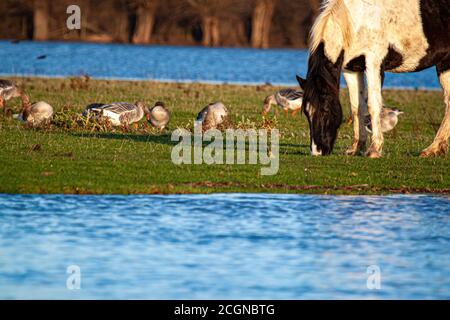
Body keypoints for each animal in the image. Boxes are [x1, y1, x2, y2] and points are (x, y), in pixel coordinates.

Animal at [298, 0, 448, 158]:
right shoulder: (351, 69)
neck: (358, 19)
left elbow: (373, 105)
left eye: (325, 110)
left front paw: (374, 149)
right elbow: (356, 107)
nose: (317, 151)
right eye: (307, 113)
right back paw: (434, 149)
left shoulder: (373, 63)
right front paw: (356, 148)